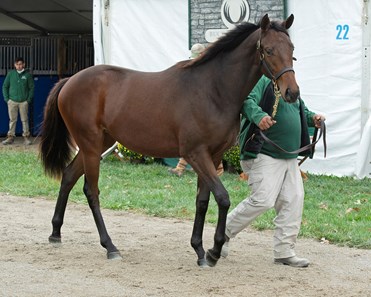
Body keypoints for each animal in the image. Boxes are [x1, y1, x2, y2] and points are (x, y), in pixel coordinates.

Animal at [39, 13, 300, 268]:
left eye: (291, 48)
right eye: (268, 50)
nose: (292, 92)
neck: (212, 90)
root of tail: (69, 81)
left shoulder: (213, 155)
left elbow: (203, 200)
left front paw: (199, 250)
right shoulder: (196, 154)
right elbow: (223, 198)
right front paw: (214, 252)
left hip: (97, 144)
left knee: (68, 176)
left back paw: (55, 232)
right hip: (91, 146)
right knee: (91, 190)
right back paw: (110, 247)